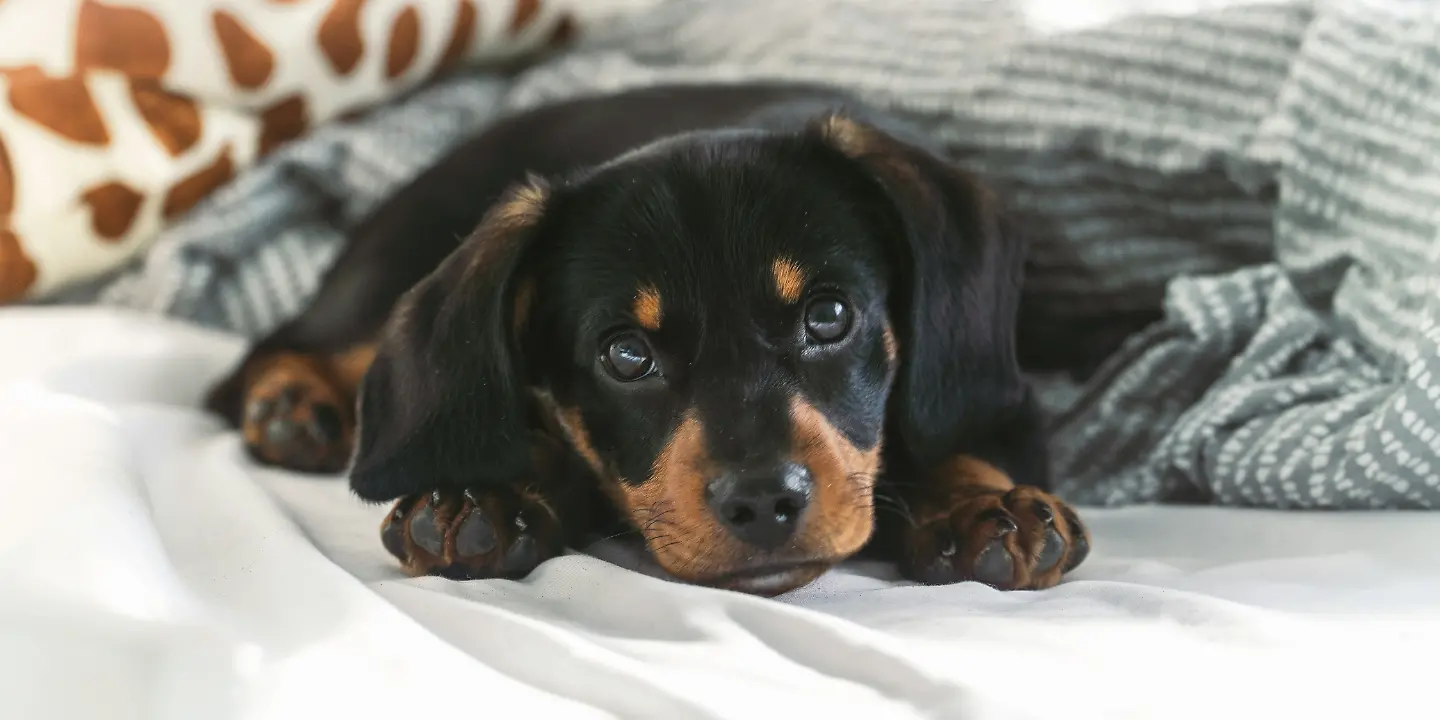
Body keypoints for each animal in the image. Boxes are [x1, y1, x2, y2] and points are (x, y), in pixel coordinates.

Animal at [208, 82, 1088, 596]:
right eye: (627, 355)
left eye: (830, 316)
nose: (764, 504)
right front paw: (489, 498)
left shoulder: (1002, 397)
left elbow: (959, 444)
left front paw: (980, 504)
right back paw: (295, 406)